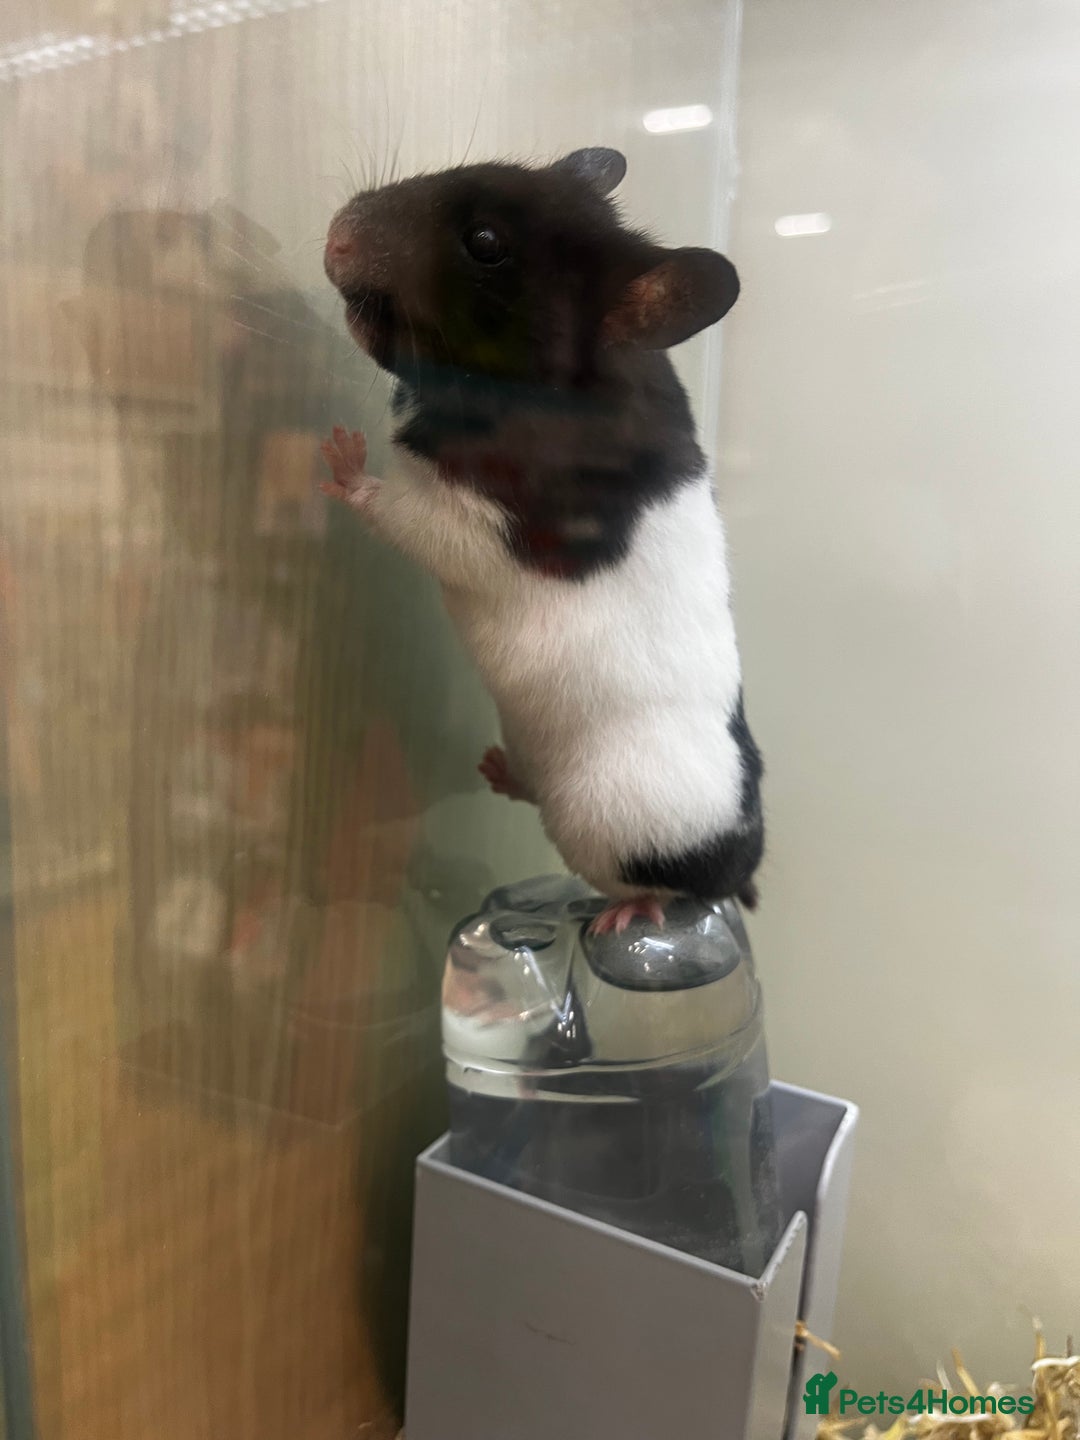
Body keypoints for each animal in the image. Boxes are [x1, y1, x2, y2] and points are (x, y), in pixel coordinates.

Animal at [321, 147, 763, 934]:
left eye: (486, 244)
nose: (333, 238)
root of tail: (746, 860)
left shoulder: (480, 526)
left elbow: (400, 511)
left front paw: (340, 454)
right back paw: (498, 770)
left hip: (616, 824)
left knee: (674, 892)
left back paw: (629, 914)